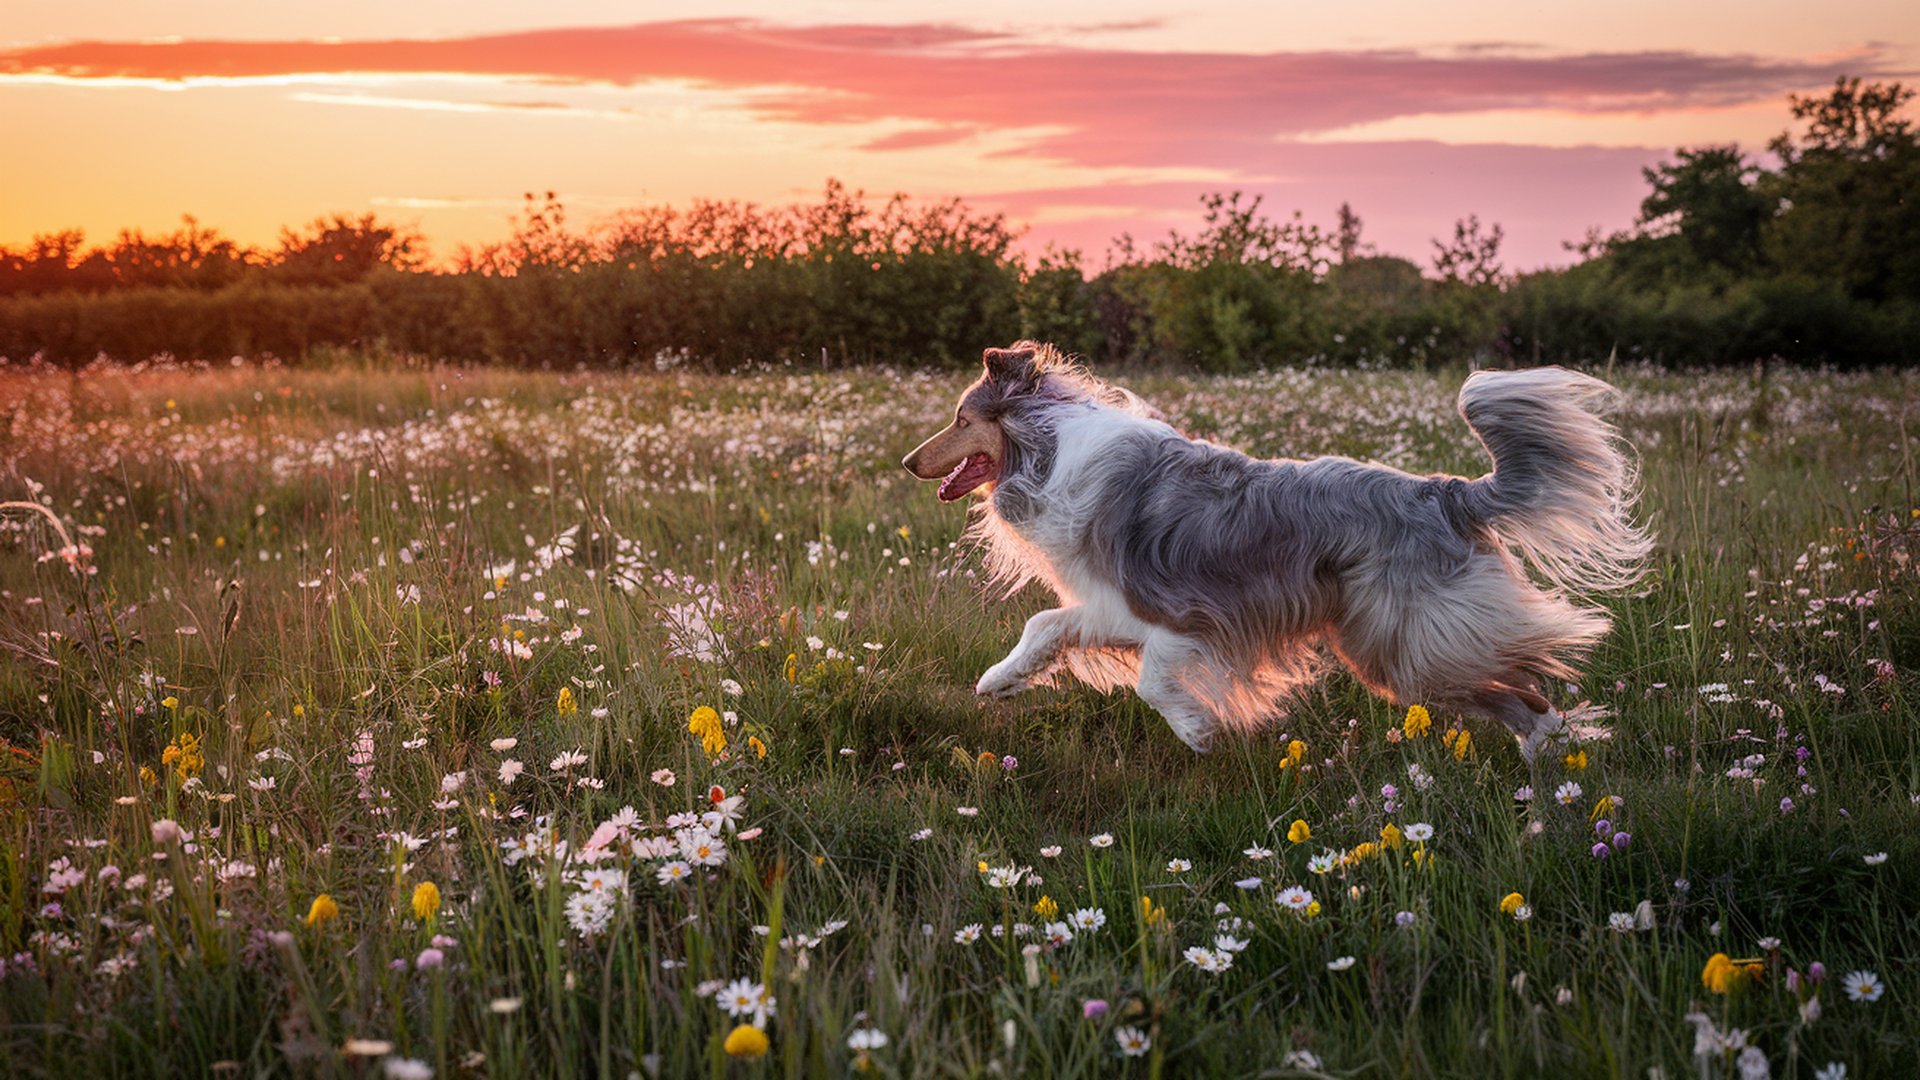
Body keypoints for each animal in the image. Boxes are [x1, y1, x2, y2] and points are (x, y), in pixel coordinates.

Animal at [898, 338, 1651, 757]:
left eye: (960, 419)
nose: (907, 462)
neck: (1048, 448)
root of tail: (1448, 492)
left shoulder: (1184, 611)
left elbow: (1151, 680)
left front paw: (1196, 731)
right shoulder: (1114, 604)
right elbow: (1045, 623)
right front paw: (999, 681)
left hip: (1411, 643)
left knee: (1520, 684)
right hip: (1397, 653)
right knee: (1516, 699)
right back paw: (1548, 773)